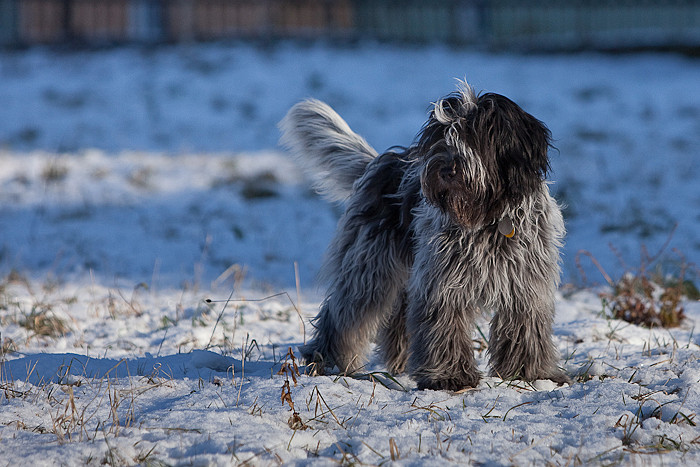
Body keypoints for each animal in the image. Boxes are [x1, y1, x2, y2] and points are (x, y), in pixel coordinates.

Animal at [278, 84, 568, 392]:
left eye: (476, 135)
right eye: (442, 135)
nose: (445, 168)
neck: (489, 218)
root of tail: (383, 163)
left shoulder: (525, 286)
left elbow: (525, 331)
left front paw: (530, 374)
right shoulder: (443, 283)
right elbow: (444, 328)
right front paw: (448, 376)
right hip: (369, 267)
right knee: (344, 314)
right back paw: (327, 360)